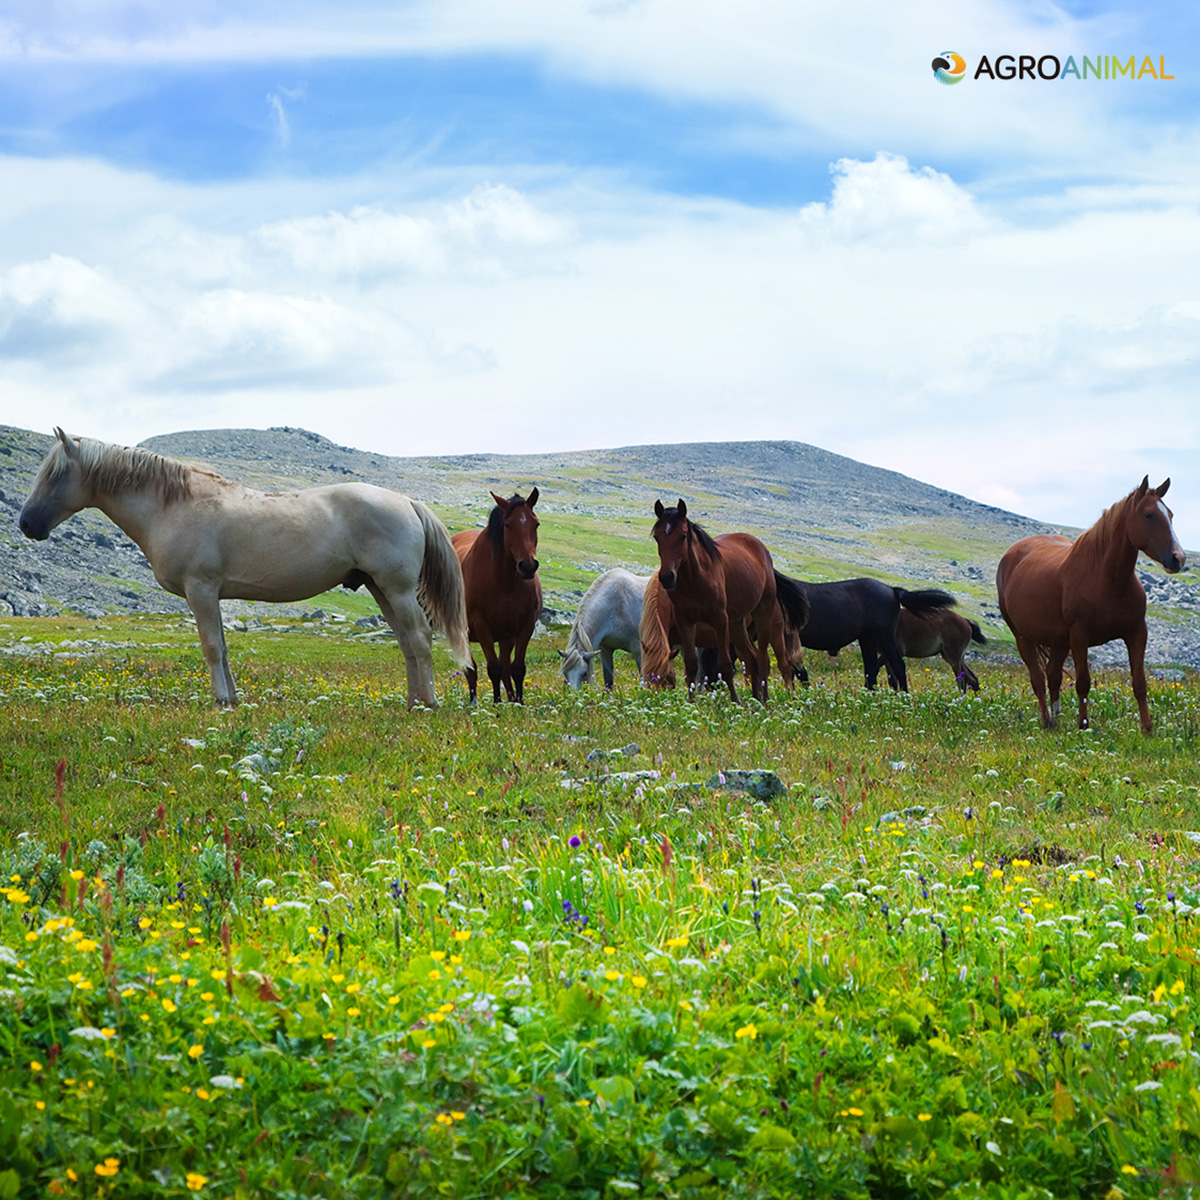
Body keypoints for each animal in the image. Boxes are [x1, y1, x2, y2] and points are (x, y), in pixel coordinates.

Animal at [19, 432, 468, 705]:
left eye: (55, 475)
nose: (26, 524)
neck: (173, 505)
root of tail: (406, 501)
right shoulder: (212, 595)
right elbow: (223, 646)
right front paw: (233, 699)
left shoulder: (200, 590)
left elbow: (211, 647)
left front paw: (220, 700)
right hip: (379, 588)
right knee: (406, 642)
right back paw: (411, 702)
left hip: (397, 589)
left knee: (419, 638)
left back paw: (428, 703)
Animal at [451, 487, 542, 700]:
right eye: (508, 525)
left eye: (536, 524)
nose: (528, 566)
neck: (504, 582)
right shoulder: (482, 626)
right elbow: (494, 669)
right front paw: (496, 704)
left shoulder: (525, 627)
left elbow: (517, 669)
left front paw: (519, 703)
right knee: (472, 670)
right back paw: (474, 702)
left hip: (506, 636)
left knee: (506, 669)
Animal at [648, 499, 806, 700]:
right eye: (657, 537)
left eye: (683, 536)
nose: (667, 577)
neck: (695, 579)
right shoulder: (685, 621)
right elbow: (691, 665)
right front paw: (691, 703)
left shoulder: (719, 620)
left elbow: (724, 666)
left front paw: (735, 702)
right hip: (737, 623)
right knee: (752, 659)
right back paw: (755, 699)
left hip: (763, 615)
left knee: (764, 660)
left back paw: (765, 702)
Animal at [993, 475, 1180, 729]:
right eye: (1149, 515)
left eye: (1170, 514)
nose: (1178, 558)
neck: (1108, 580)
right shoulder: (1080, 636)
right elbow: (1083, 682)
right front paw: (1083, 724)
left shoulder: (1137, 633)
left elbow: (1140, 683)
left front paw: (1147, 728)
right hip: (1023, 638)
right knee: (1038, 679)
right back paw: (1047, 721)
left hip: (1060, 642)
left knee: (1053, 676)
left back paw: (1057, 720)